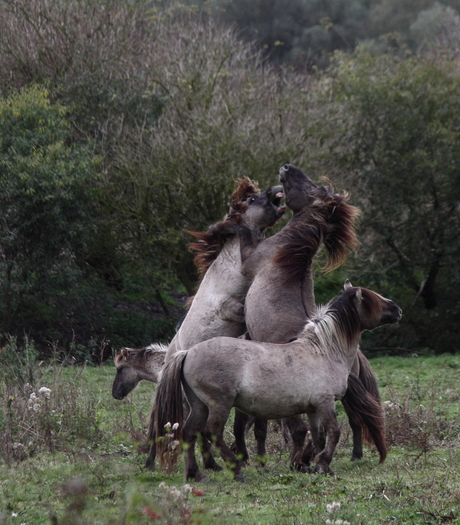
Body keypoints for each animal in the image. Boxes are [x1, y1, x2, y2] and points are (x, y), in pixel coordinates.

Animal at [155, 280, 402, 482]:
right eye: (372, 300)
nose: (398, 310)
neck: (324, 351)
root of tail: (187, 353)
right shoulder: (325, 403)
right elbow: (334, 433)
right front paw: (322, 465)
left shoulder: (313, 408)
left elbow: (319, 437)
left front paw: (313, 464)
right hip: (219, 404)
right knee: (211, 433)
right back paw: (236, 470)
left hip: (198, 405)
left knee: (189, 433)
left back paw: (195, 474)